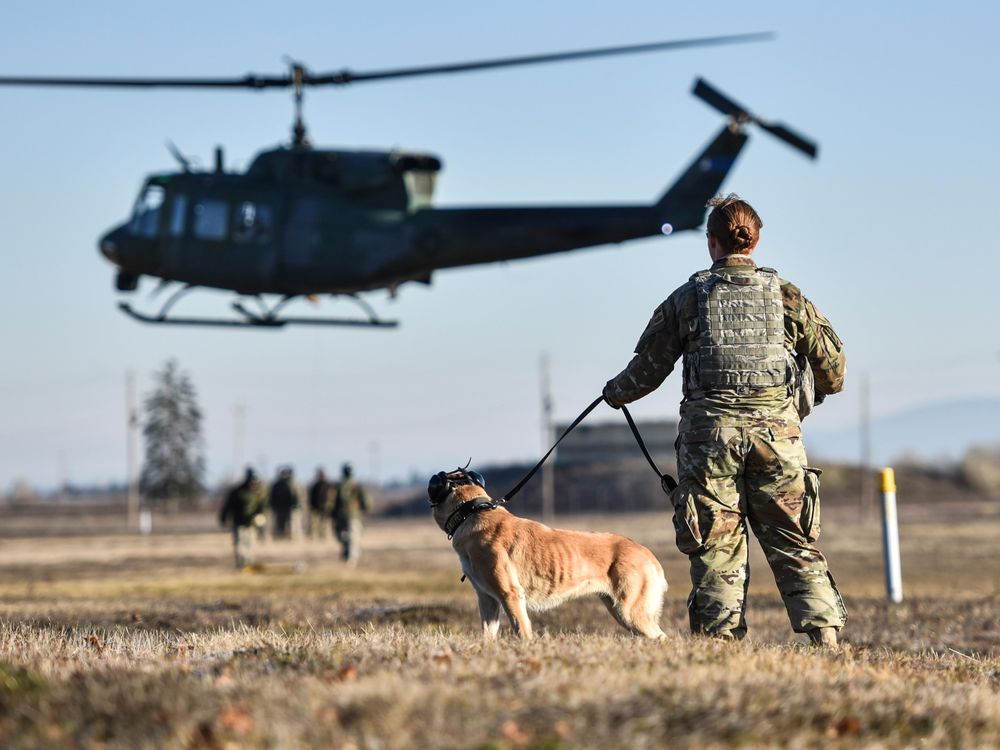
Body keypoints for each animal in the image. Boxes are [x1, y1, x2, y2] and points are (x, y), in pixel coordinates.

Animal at [428, 470, 668, 640]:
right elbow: (488, 635)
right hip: (619, 610)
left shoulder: (510, 595)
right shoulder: (487, 599)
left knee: (661, 637)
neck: (470, 512)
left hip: (631, 612)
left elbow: (522, 632)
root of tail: (647, 553)